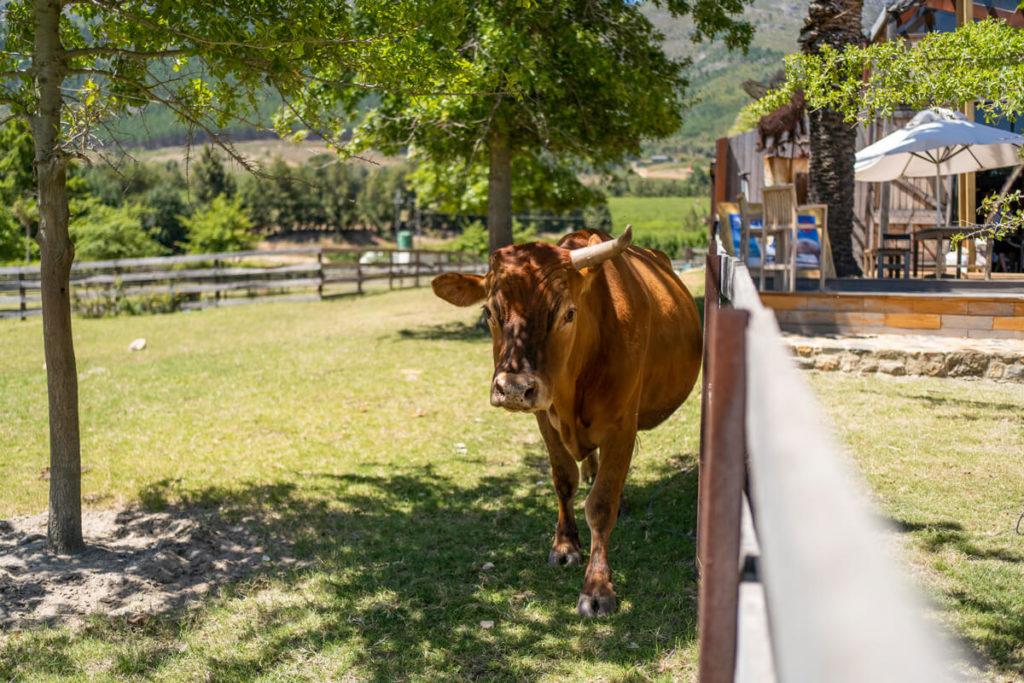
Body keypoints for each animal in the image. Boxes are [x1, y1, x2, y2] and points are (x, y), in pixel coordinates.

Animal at [431, 226, 703, 617]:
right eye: (489, 313)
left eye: (568, 313)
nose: (513, 389)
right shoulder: (546, 419)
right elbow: (563, 480)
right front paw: (564, 545)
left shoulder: (622, 426)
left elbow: (601, 505)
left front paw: (597, 586)